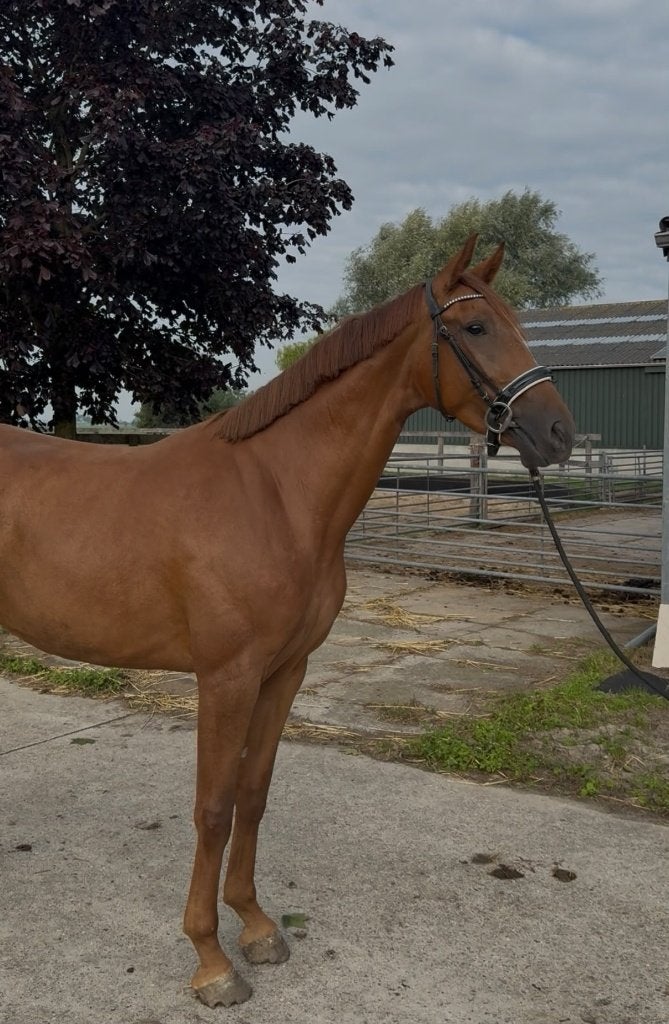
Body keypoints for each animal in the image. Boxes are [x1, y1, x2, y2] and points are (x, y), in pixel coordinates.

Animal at [0, 237, 574, 1008]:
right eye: (477, 327)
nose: (557, 432)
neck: (275, 494)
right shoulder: (227, 677)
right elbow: (213, 807)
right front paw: (211, 960)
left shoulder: (285, 671)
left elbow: (253, 792)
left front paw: (255, 926)